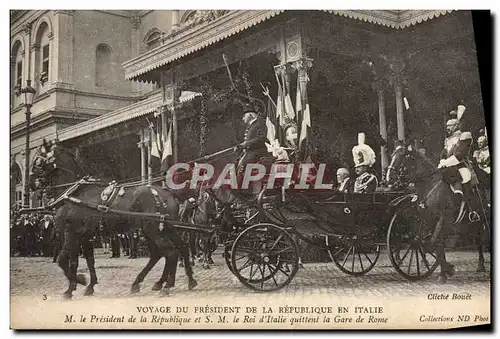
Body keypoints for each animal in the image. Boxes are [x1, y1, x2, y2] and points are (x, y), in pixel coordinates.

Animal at [41, 145, 197, 298]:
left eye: (40, 160)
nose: (35, 183)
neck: (76, 197)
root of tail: (167, 193)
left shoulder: (71, 233)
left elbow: (63, 260)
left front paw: (76, 283)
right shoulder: (84, 237)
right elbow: (86, 261)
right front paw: (87, 285)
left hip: (153, 229)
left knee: (170, 252)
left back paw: (166, 285)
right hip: (164, 229)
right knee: (174, 249)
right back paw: (180, 281)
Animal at [388, 143, 490, 284]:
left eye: (402, 155)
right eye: (392, 155)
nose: (388, 177)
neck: (430, 185)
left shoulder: (443, 219)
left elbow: (432, 243)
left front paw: (447, 269)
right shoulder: (430, 220)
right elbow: (436, 244)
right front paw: (444, 272)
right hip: (475, 222)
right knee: (478, 238)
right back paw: (480, 265)